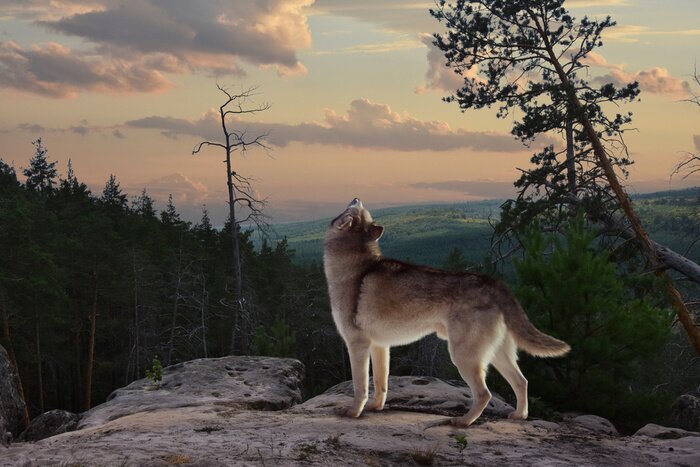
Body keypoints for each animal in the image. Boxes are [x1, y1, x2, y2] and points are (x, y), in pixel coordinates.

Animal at [323, 198, 570, 426]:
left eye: (354, 209)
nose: (356, 198)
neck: (353, 265)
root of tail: (494, 283)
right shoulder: (380, 346)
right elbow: (380, 384)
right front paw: (375, 408)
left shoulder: (358, 345)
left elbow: (360, 387)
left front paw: (353, 412)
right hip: (498, 354)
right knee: (521, 382)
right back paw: (519, 415)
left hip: (463, 356)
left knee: (484, 394)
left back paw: (463, 421)